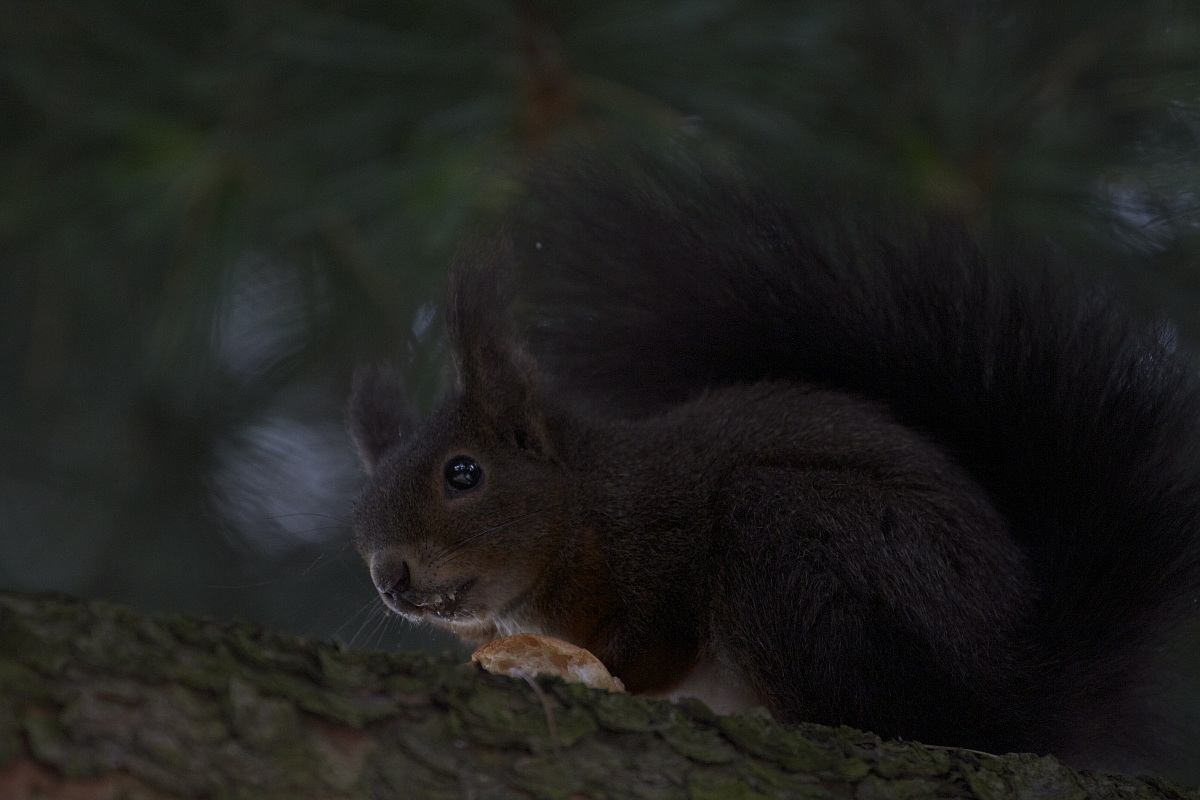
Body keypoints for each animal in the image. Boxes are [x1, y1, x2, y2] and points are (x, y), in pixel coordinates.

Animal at [348, 153, 1200, 777]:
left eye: (464, 474)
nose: (389, 578)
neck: (581, 509)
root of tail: (1022, 684)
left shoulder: (659, 544)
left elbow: (660, 645)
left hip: (795, 533)